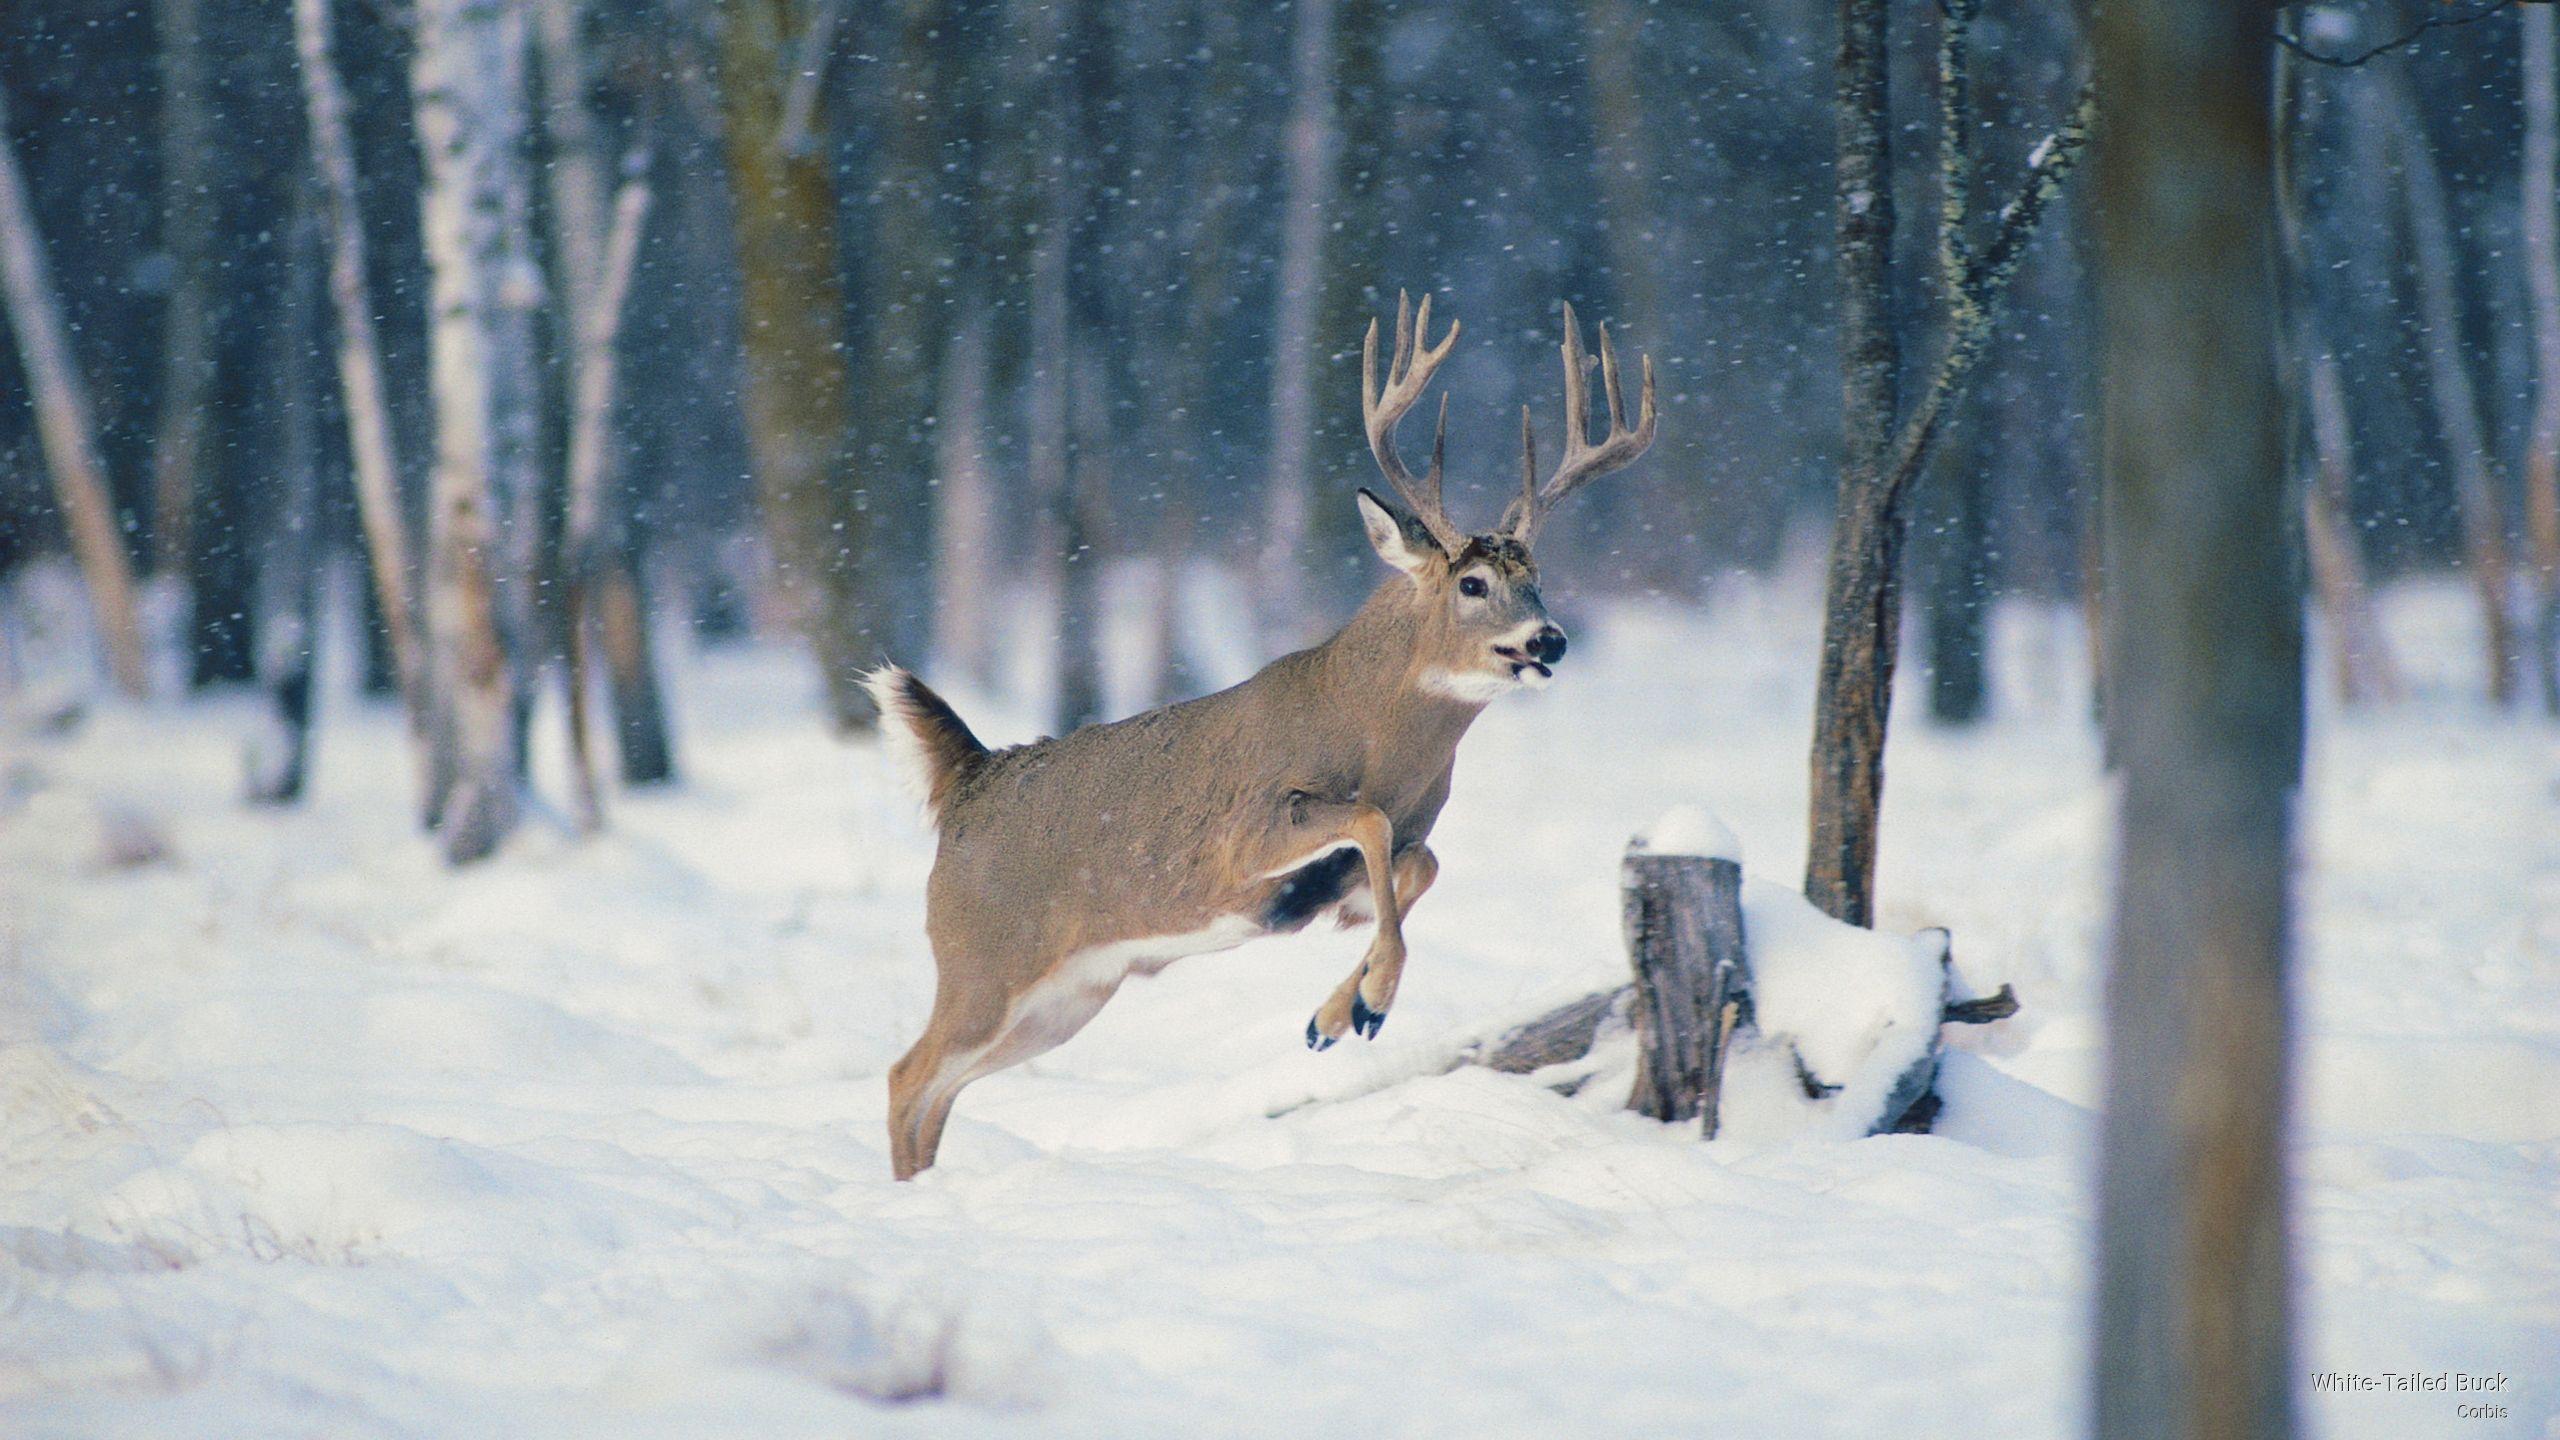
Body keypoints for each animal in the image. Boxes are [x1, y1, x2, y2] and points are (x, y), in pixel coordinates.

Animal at [870, 294, 1658, 1179]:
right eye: (1474, 582)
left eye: (1539, 578)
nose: (1549, 638)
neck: (1375, 736)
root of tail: (970, 777)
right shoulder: (1242, 839)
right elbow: (1370, 824)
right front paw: (1372, 1002)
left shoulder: (1381, 859)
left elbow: (1419, 863)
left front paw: (1336, 1016)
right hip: (982, 959)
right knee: (906, 1075)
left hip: (1066, 996)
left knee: (941, 1089)